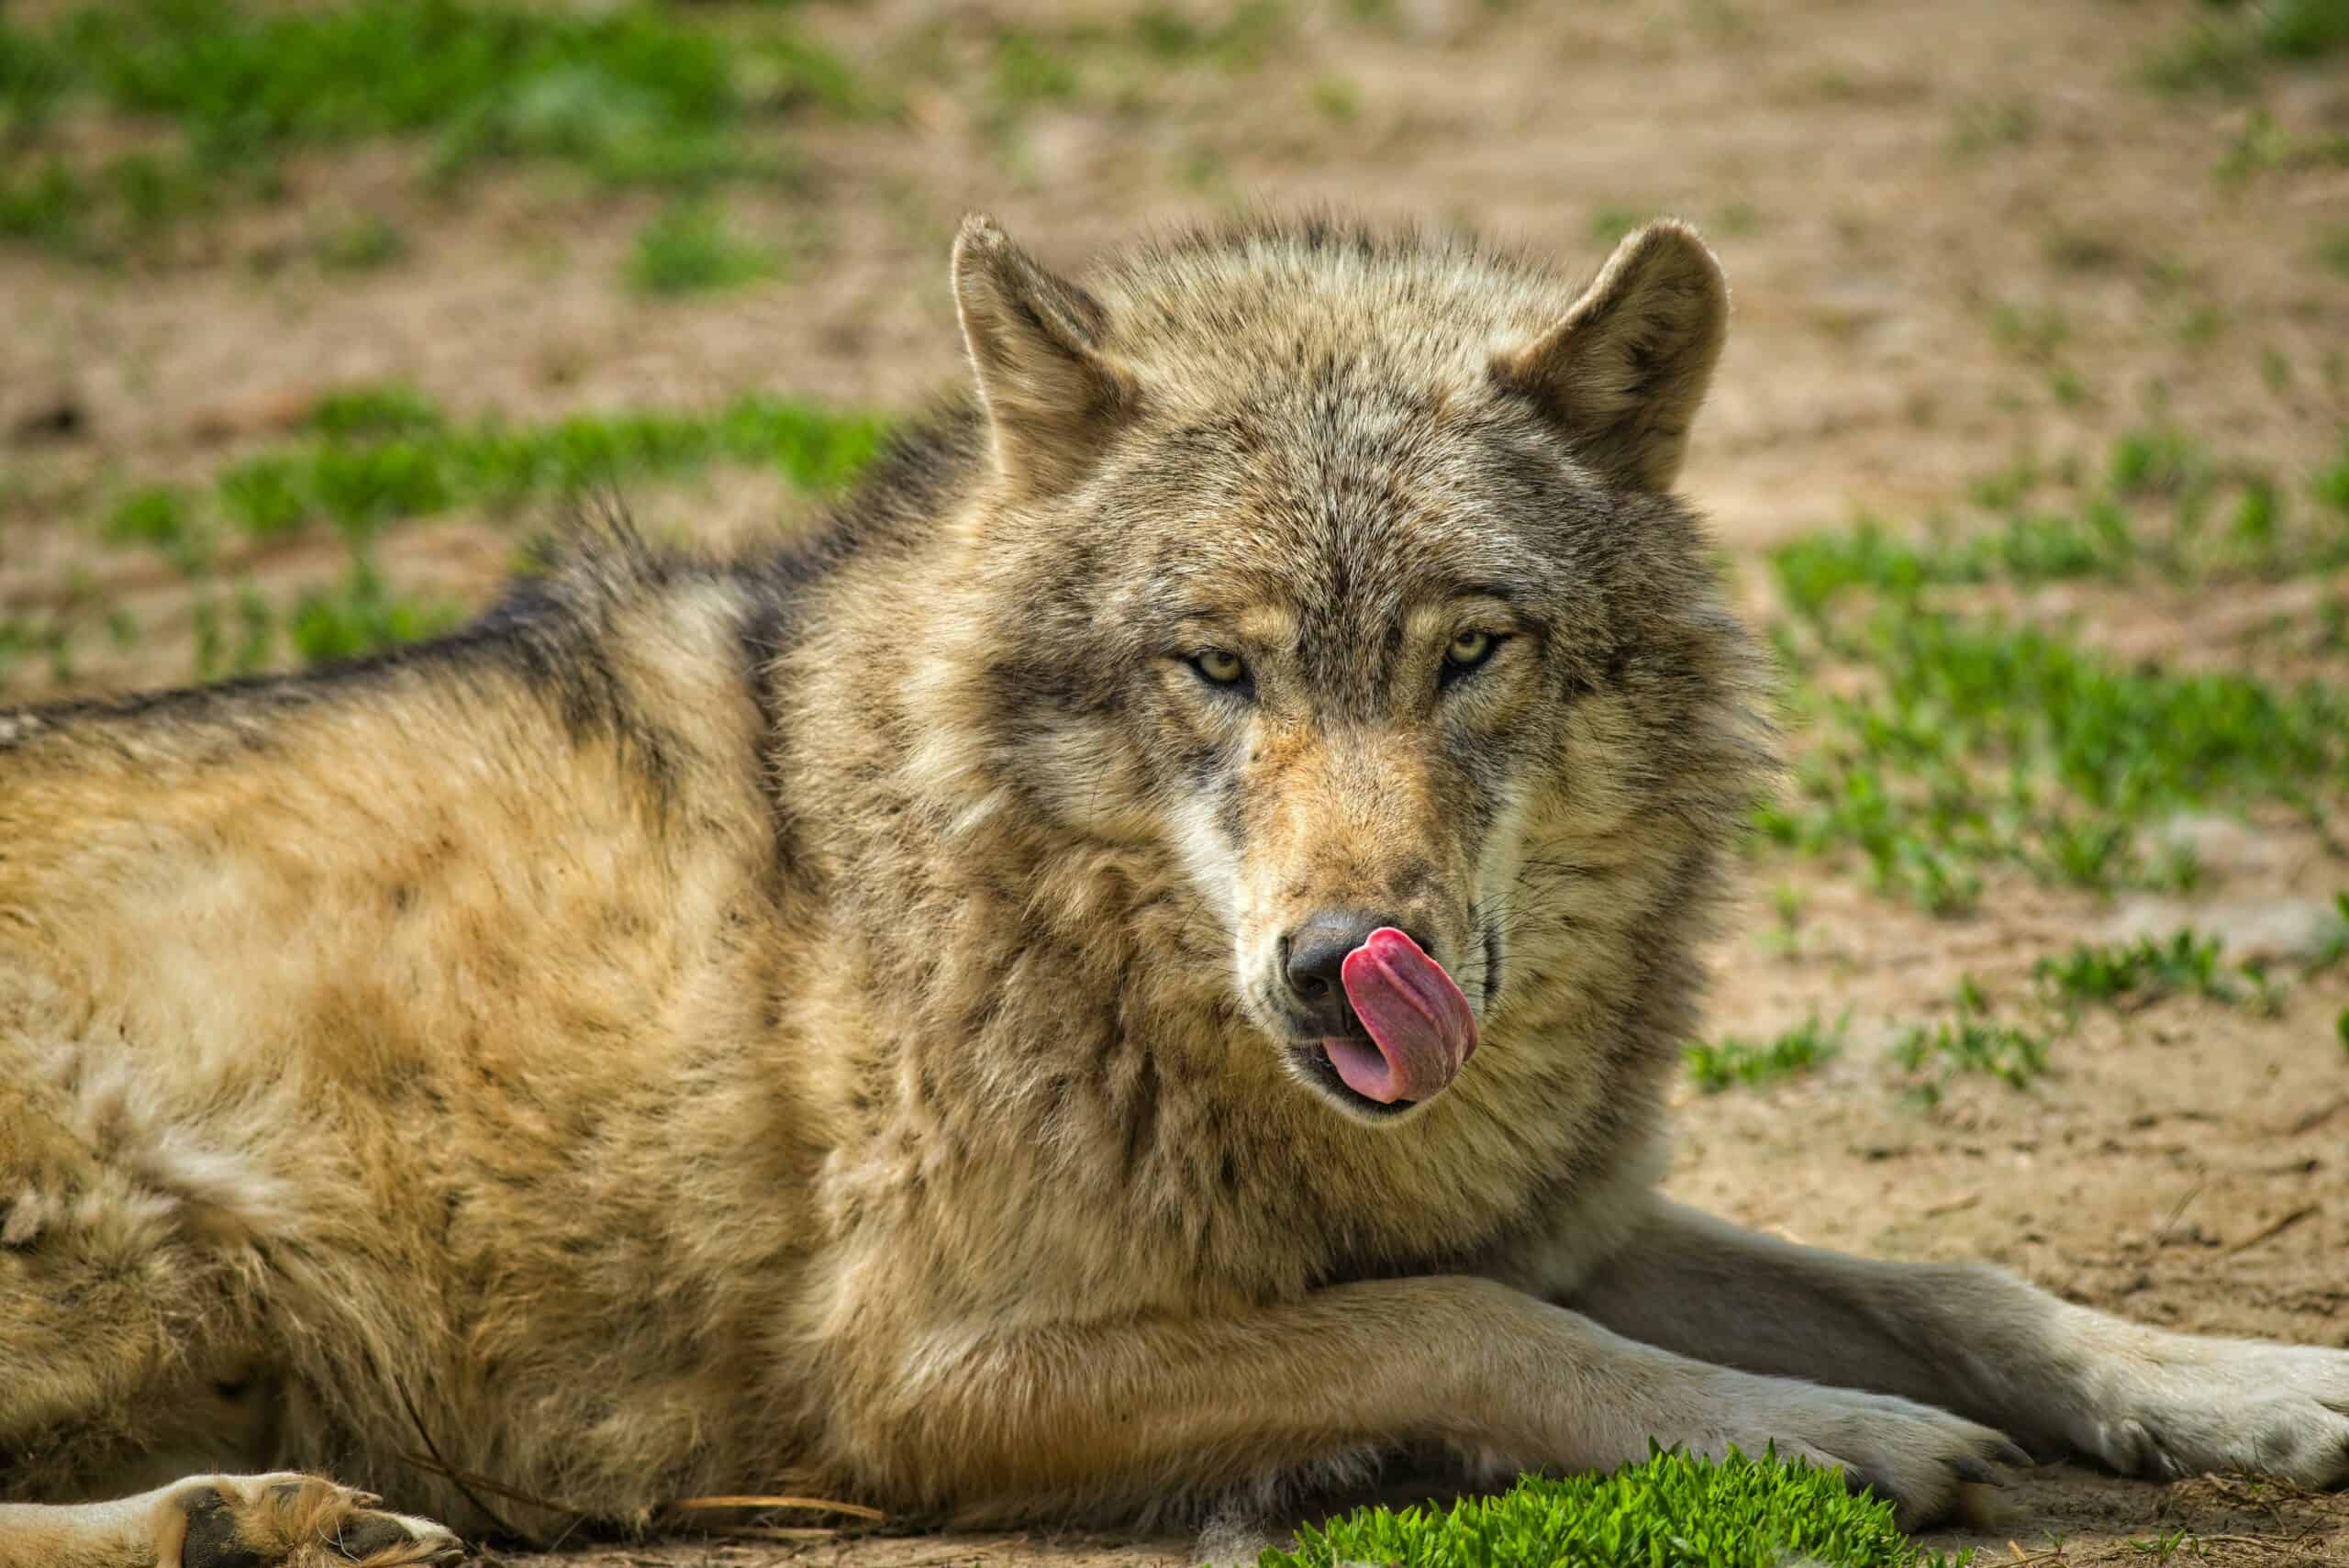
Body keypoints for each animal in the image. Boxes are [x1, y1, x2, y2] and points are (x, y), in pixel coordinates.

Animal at [3, 212, 2345, 1568]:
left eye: (1465, 649)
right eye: (1213, 666)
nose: (1335, 969)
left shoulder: (1547, 1204)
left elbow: (1957, 1281)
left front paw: (2241, 1386)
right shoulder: (925, 1375)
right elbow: (1476, 1328)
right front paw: (1825, 1440)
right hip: (148, 1243)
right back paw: (237, 1518)